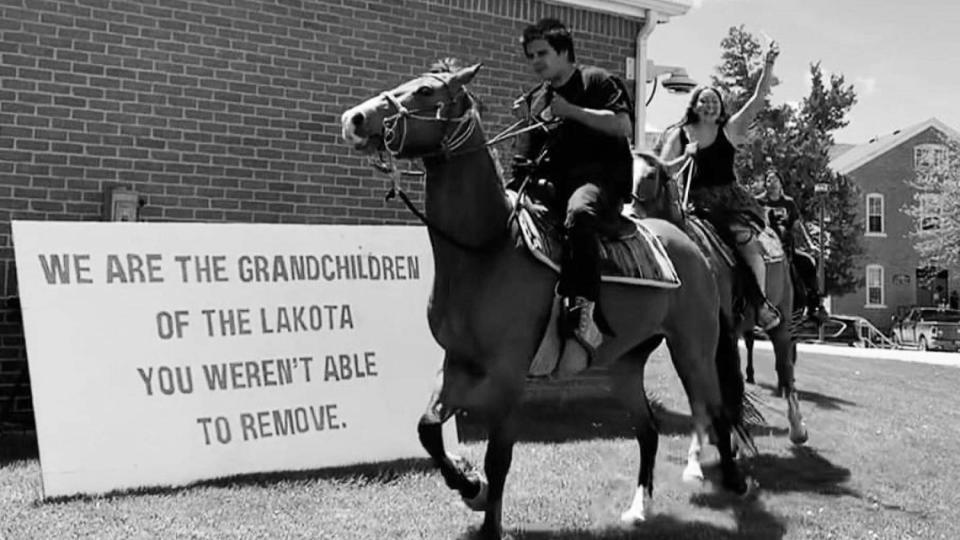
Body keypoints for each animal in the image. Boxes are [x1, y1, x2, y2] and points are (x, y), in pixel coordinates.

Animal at [342, 64, 752, 540]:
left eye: (426, 90)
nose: (355, 118)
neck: (486, 249)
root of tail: (692, 245)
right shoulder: (457, 362)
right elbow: (427, 431)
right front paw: (469, 487)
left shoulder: (507, 376)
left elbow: (498, 459)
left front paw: (487, 518)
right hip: (626, 364)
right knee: (647, 429)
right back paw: (637, 509)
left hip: (693, 349)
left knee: (717, 411)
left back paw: (735, 483)